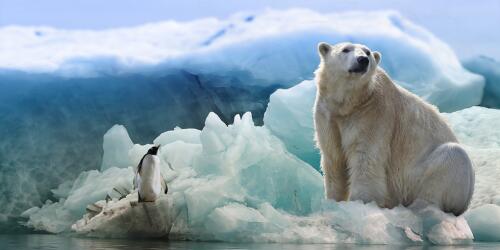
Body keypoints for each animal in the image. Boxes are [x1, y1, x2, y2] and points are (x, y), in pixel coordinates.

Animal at [314, 42, 474, 216]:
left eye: (367, 52)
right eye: (345, 49)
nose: (363, 60)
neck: (350, 103)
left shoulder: (373, 114)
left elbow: (366, 159)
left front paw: (361, 203)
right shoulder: (327, 115)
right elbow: (334, 158)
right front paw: (333, 201)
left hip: (421, 176)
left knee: (452, 158)